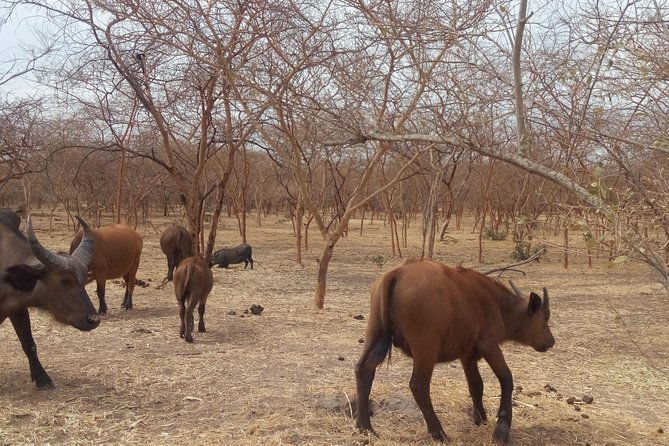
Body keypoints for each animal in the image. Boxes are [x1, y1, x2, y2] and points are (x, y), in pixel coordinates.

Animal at [354, 258, 552, 446]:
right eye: (545, 317)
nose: (551, 341)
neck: (495, 304)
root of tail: (398, 272)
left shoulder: (467, 356)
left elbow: (476, 385)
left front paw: (480, 418)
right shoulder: (490, 347)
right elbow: (506, 379)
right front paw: (501, 430)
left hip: (374, 332)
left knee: (363, 371)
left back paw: (365, 427)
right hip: (426, 349)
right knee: (419, 385)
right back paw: (438, 433)